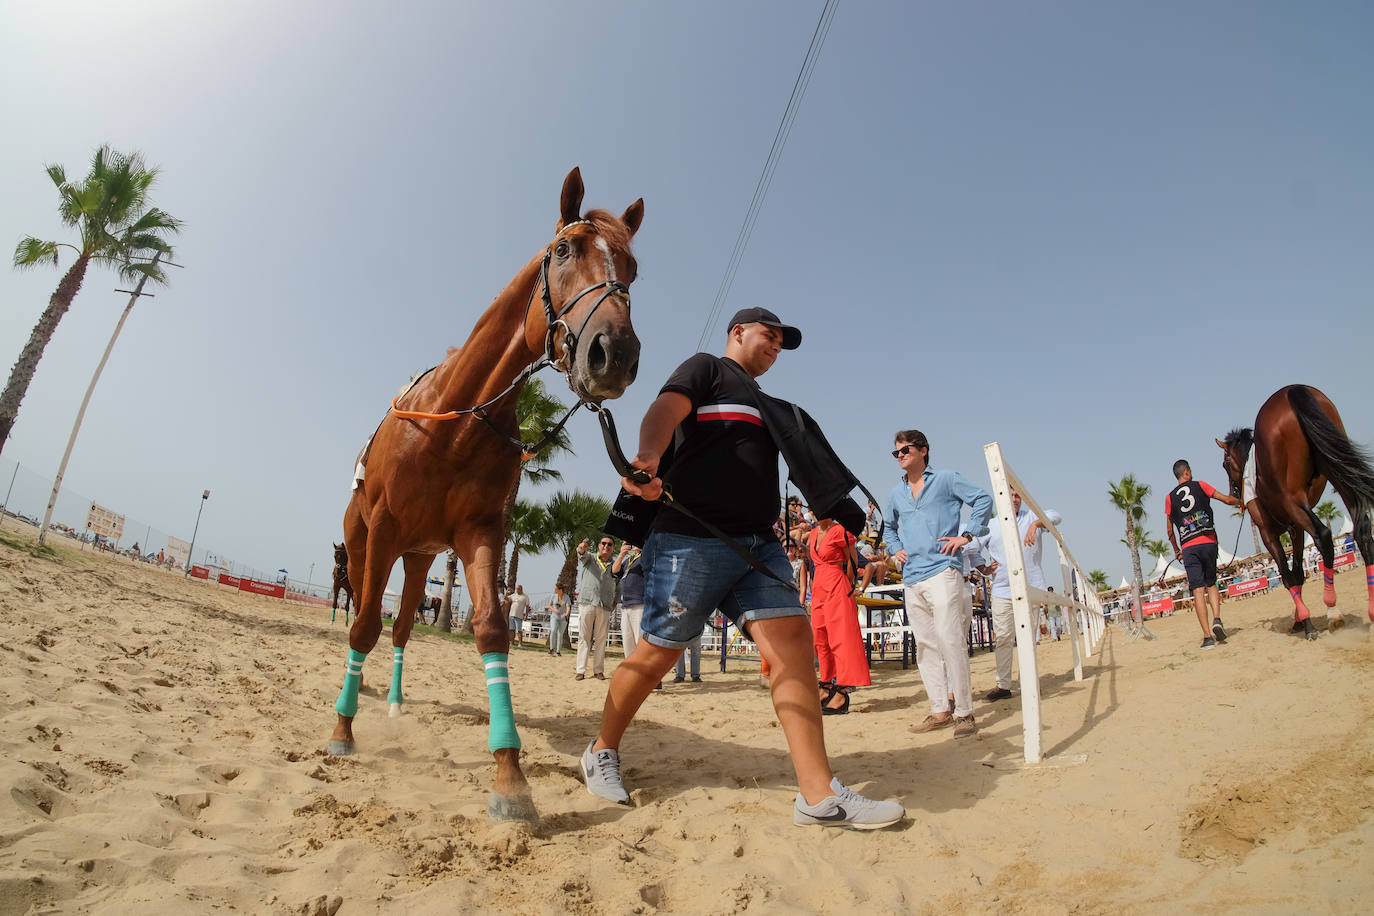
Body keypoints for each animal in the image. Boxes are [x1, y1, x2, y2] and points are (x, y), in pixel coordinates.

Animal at [328, 170, 643, 823]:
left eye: (632, 268)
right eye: (565, 249)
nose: (615, 353)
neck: (455, 419)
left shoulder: (479, 532)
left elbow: (493, 632)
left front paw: (509, 775)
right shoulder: (387, 529)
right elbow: (364, 626)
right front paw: (342, 731)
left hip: (419, 558)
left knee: (403, 628)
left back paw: (394, 701)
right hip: (368, 543)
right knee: (366, 617)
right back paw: (357, 694)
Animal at [1214, 384, 1374, 642]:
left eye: (1225, 463)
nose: (1234, 492)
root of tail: (1293, 391)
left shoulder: (1268, 533)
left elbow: (1288, 576)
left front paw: (1306, 623)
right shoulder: (1295, 527)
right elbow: (1298, 573)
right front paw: (1301, 620)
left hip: (1293, 498)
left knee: (1323, 536)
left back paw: (1332, 610)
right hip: (1337, 473)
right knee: (1362, 530)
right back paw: (1370, 611)